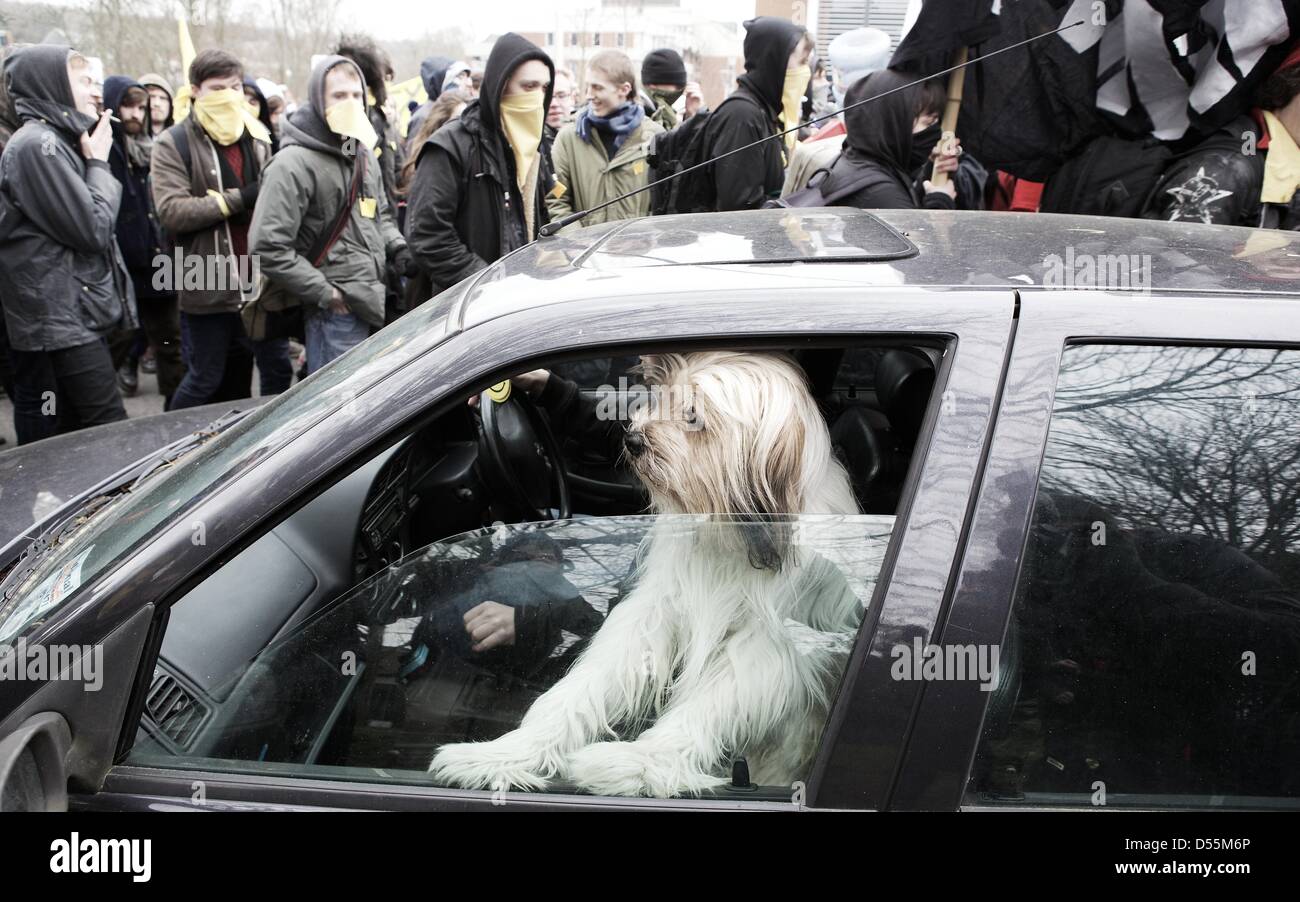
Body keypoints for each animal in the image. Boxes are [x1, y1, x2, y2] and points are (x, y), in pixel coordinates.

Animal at [431, 350, 868, 800]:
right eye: (663, 398)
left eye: (694, 416)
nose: (634, 439)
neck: (728, 530)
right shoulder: (657, 608)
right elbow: (589, 682)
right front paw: (508, 753)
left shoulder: (769, 643)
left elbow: (711, 703)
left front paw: (640, 763)